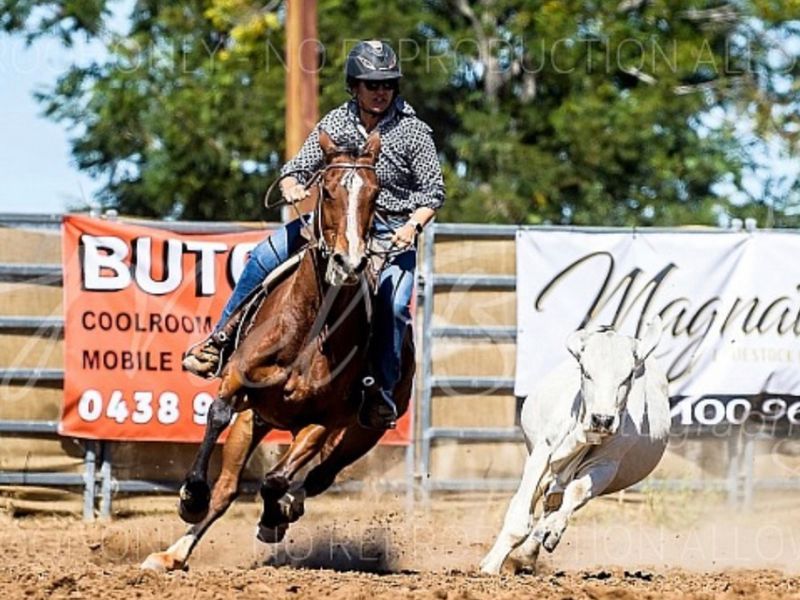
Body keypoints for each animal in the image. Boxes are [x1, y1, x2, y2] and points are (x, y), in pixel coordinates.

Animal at [142, 129, 414, 571]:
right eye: (327, 191)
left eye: (376, 193)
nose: (350, 263)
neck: (309, 330)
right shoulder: (238, 384)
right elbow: (217, 416)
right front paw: (191, 498)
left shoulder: (323, 423)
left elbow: (275, 480)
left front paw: (273, 517)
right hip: (254, 419)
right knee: (227, 489)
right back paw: (172, 553)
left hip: (361, 433)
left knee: (317, 477)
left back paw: (285, 509)